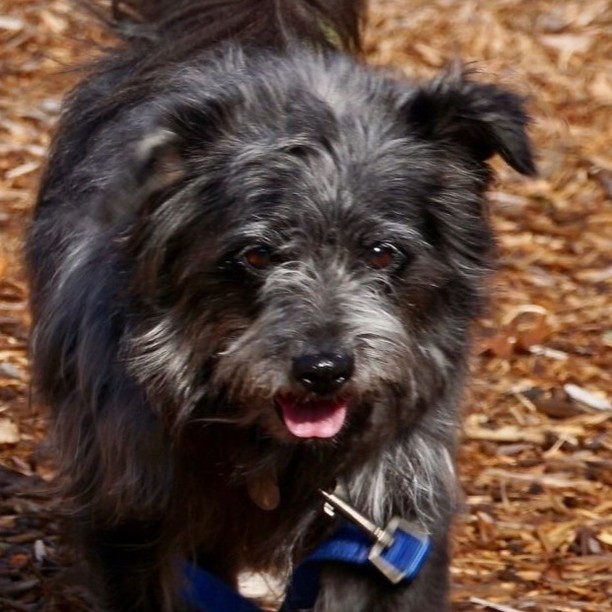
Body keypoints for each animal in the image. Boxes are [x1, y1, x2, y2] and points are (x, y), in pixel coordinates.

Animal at [29, 0, 536, 608]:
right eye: (256, 254)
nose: (324, 370)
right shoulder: (133, 516)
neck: (278, 454)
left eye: (381, 253)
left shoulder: (385, 526)